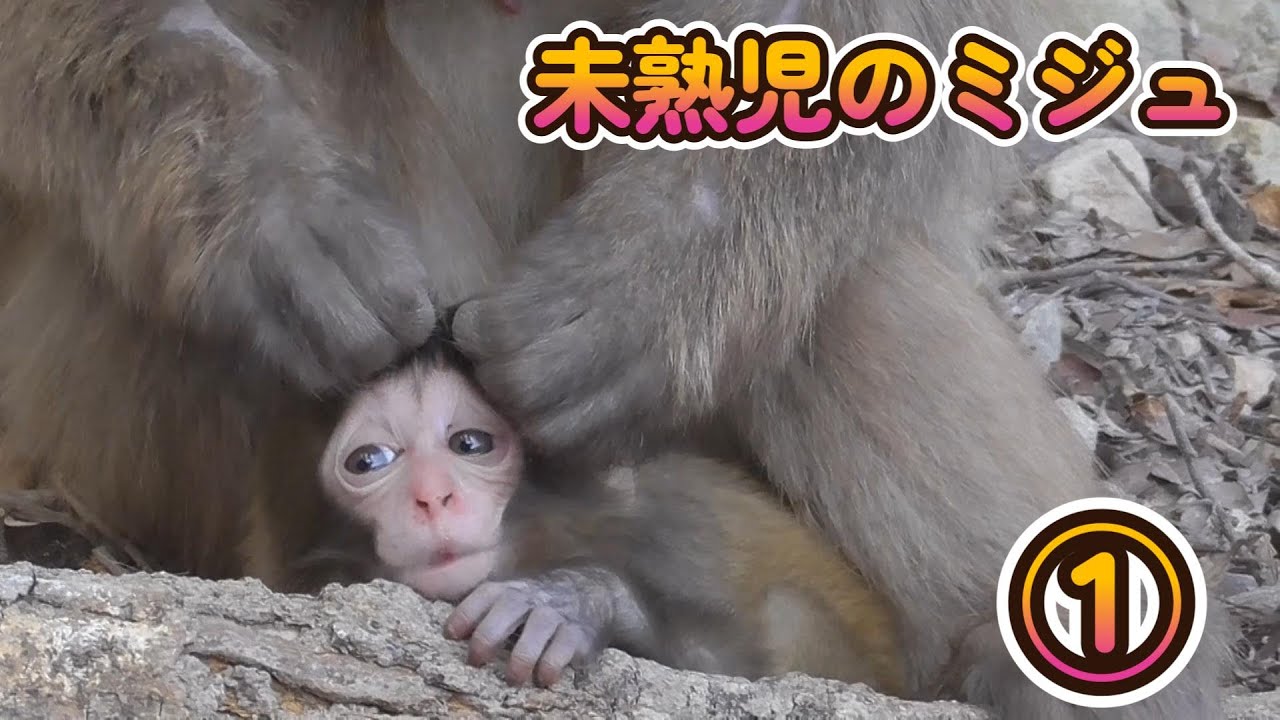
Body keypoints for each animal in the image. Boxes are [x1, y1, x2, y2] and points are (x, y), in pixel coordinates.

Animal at [316, 338, 906, 691]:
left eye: (471, 443)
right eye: (368, 461)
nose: (432, 496)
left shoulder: (674, 536)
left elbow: (728, 672)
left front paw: (574, 601)